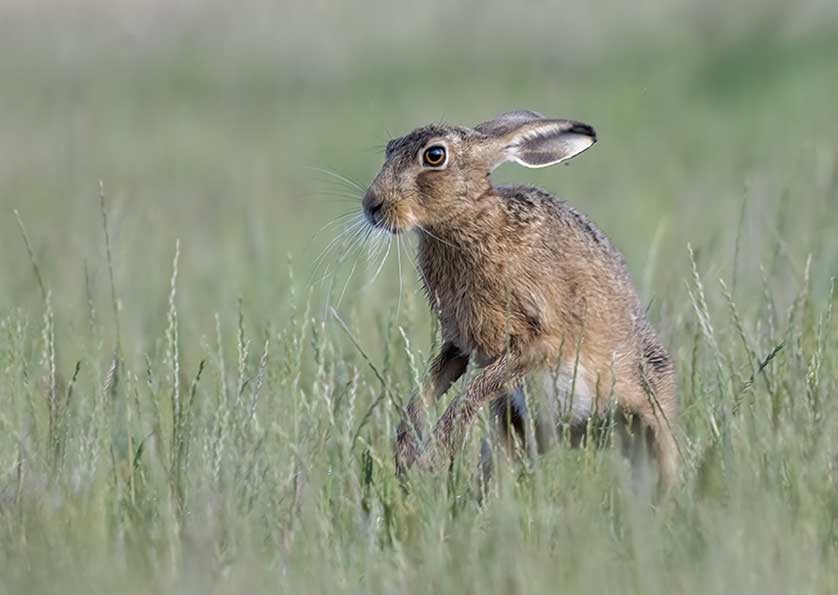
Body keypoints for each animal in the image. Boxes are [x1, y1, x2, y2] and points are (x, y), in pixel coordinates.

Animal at [361, 110, 678, 490]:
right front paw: (406, 453)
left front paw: (433, 456)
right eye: (390, 148)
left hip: (652, 415)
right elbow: (429, 387)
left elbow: (472, 392)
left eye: (434, 156)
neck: (468, 221)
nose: (372, 205)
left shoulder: (537, 342)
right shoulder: (458, 344)